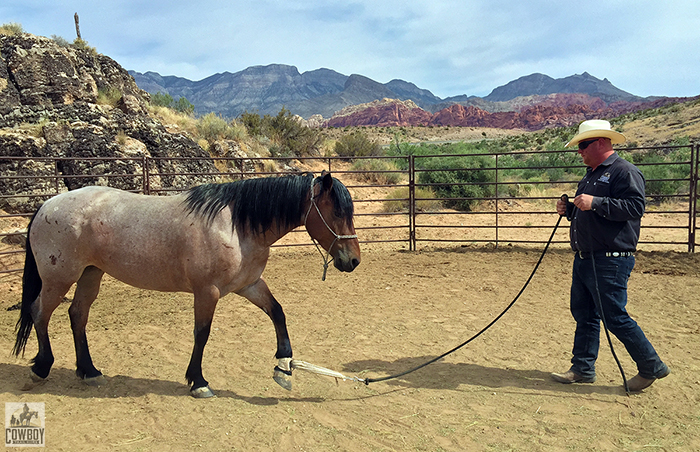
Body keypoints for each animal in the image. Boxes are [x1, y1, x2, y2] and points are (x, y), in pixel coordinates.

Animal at [12, 171, 360, 398]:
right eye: (337, 211)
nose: (353, 260)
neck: (235, 226)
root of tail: (47, 205)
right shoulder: (208, 292)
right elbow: (202, 334)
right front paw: (199, 382)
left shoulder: (249, 284)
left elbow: (277, 312)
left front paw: (284, 367)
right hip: (60, 277)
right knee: (39, 312)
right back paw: (41, 368)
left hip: (91, 274)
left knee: (77, 315)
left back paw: (89, 371)